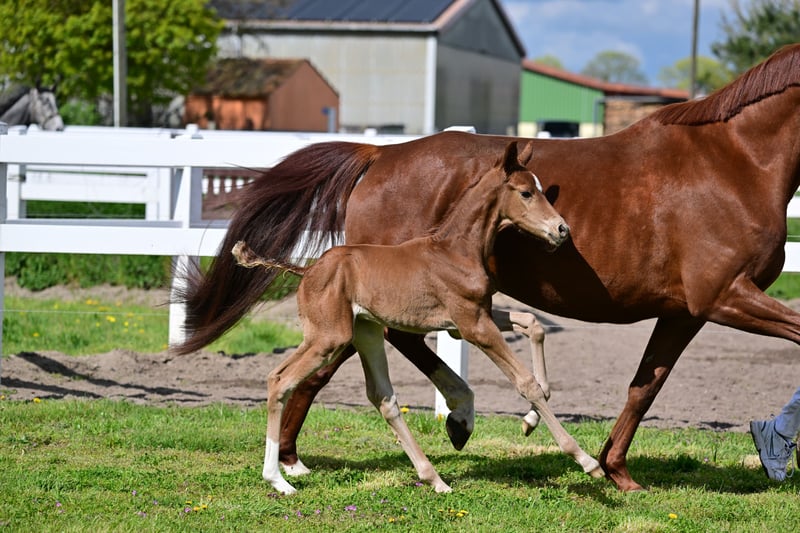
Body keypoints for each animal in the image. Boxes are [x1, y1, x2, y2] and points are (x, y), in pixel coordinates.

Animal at [234, 142, 604, 494]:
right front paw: (587, 461)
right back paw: (278, 480)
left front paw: (525, 421)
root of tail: (306, 270)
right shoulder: (474, 326)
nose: (561, 229)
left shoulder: (470, 319)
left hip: (365, 332)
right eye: (526, 192)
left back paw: (434, 478)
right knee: (281, 380)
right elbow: (525, 382)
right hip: (329, 338)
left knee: (382, 397)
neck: (455, 250)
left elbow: (533, 324)